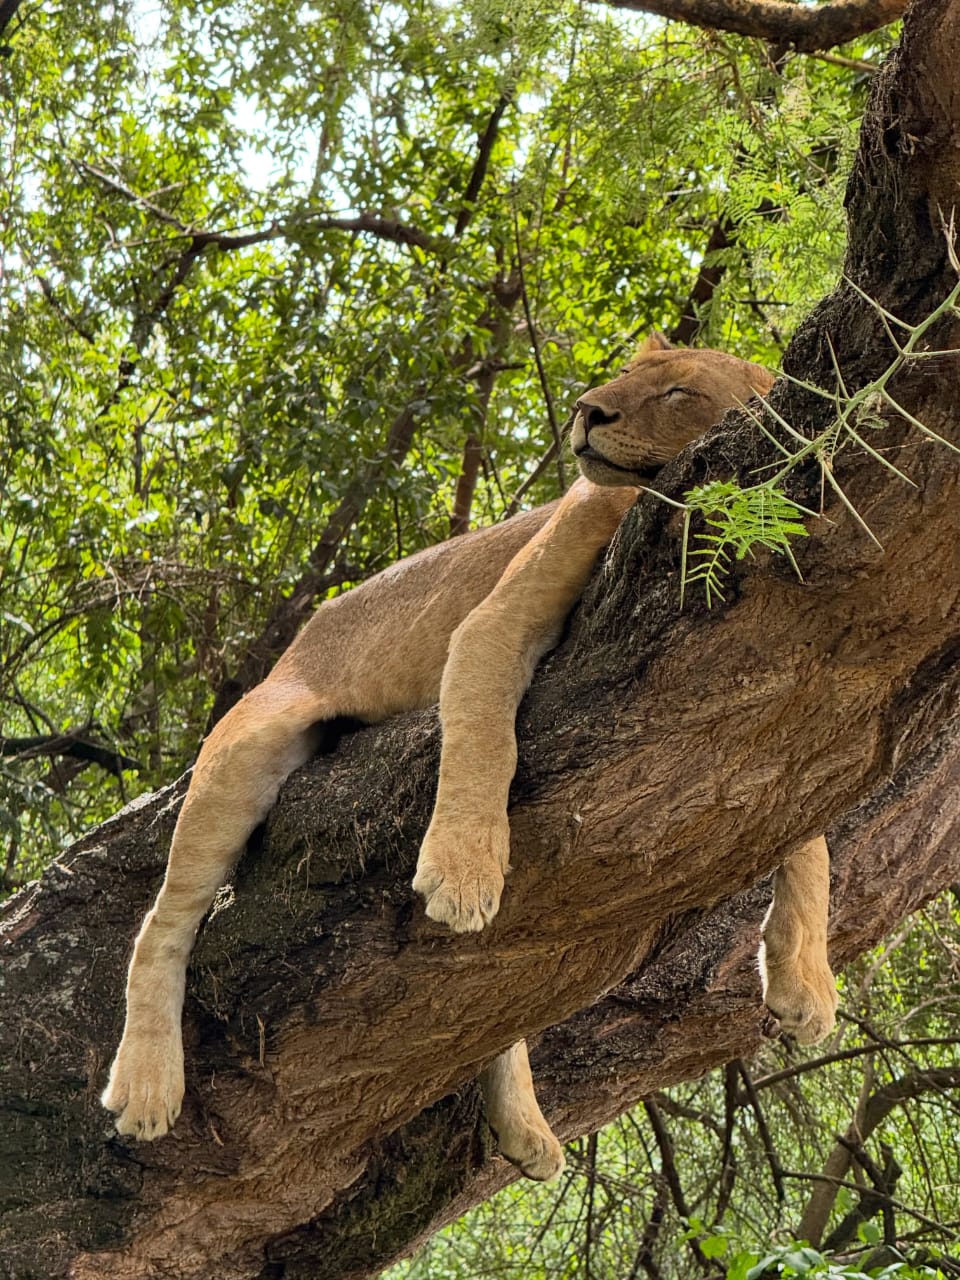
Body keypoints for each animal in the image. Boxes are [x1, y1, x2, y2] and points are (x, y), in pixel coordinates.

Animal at [102, 333, 839, 1181]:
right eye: (625, 373)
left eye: (680, 391)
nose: (587, 412)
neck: (627, 503)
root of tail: (303, 634)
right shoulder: (492, 626)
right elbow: (485, 740)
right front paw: (462, 872)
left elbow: (813, 837)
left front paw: (807, 981)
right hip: (248, 745)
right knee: (162, 920)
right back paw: (147, 1085)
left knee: (499, 1006)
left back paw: (523, 1125)